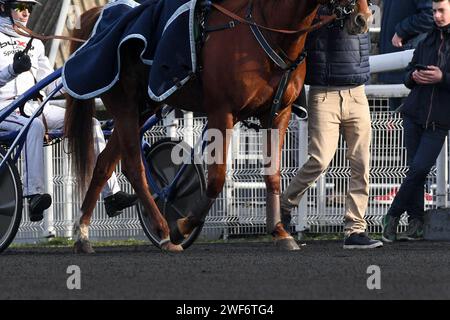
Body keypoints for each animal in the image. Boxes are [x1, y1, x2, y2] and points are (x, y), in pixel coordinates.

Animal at [64, 0, 372, 255]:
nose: (363, 18)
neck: (268, 33)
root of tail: (98, 17)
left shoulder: (278, 114)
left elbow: (272, 175)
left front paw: (280, 232)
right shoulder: (221, 112)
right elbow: (216, 178)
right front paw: (183, 226)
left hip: (144, 107)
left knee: (105, 164)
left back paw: (82, 235)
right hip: (125, 105)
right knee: (134, 168)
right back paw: (163, 231)